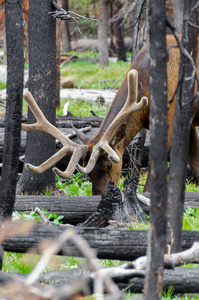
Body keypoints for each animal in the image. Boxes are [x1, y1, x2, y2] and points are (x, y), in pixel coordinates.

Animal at [22, 34, 199, 195]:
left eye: (109, 165)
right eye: (86, 170)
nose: (99, 195)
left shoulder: (170, 117)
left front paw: (147, 193)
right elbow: (194, 160)